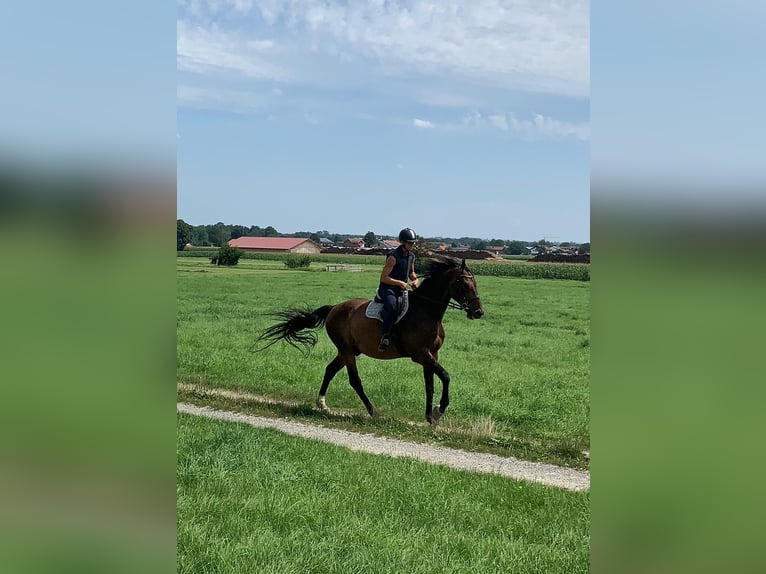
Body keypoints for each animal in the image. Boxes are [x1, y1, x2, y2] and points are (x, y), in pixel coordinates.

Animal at [256, 256, 486, 424]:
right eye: (464, 284)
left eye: (475, 282)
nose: (478, 312)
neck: (427, 312)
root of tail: (335, 308)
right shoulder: (420, 354)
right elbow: (445, 376)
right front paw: (439, 410)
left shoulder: (431, 354)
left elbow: (429, 385)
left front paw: (430, 417)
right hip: (347, 351)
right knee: (354, 380)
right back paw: (372, 411)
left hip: (348, 351)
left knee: (330, 370)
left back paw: (322, 404)